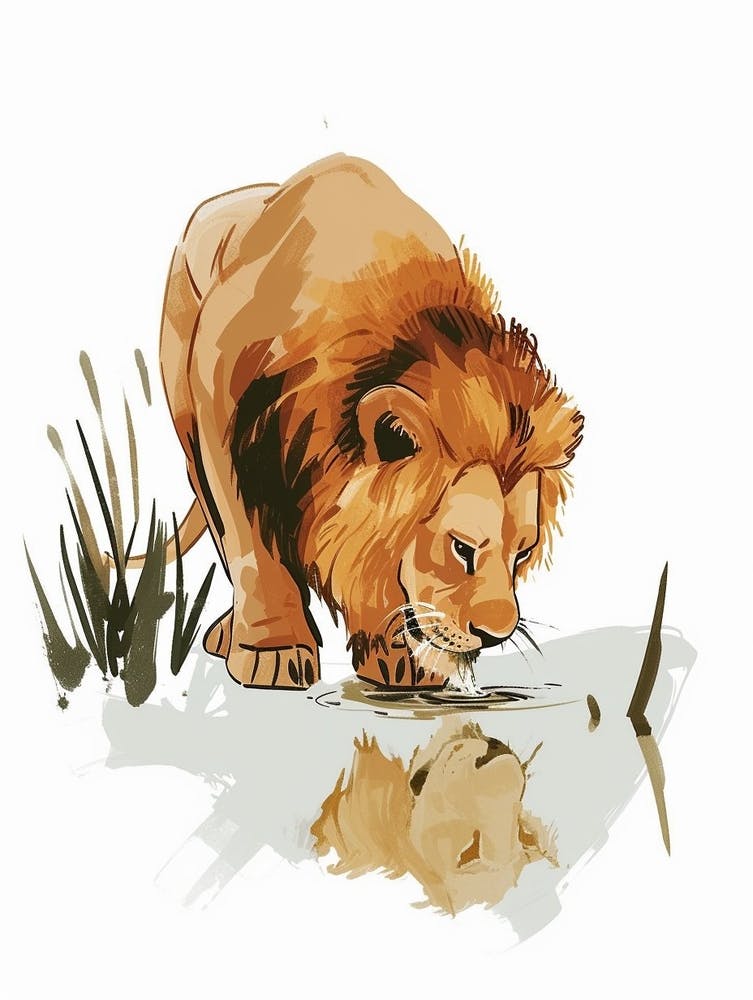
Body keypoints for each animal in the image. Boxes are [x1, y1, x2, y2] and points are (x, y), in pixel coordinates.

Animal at [152, 153, 583, 690]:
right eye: (462, 548)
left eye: (522, 553)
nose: (494, 635)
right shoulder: (218, 404)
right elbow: (250, 542)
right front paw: (274, 647)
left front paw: (395, 655)